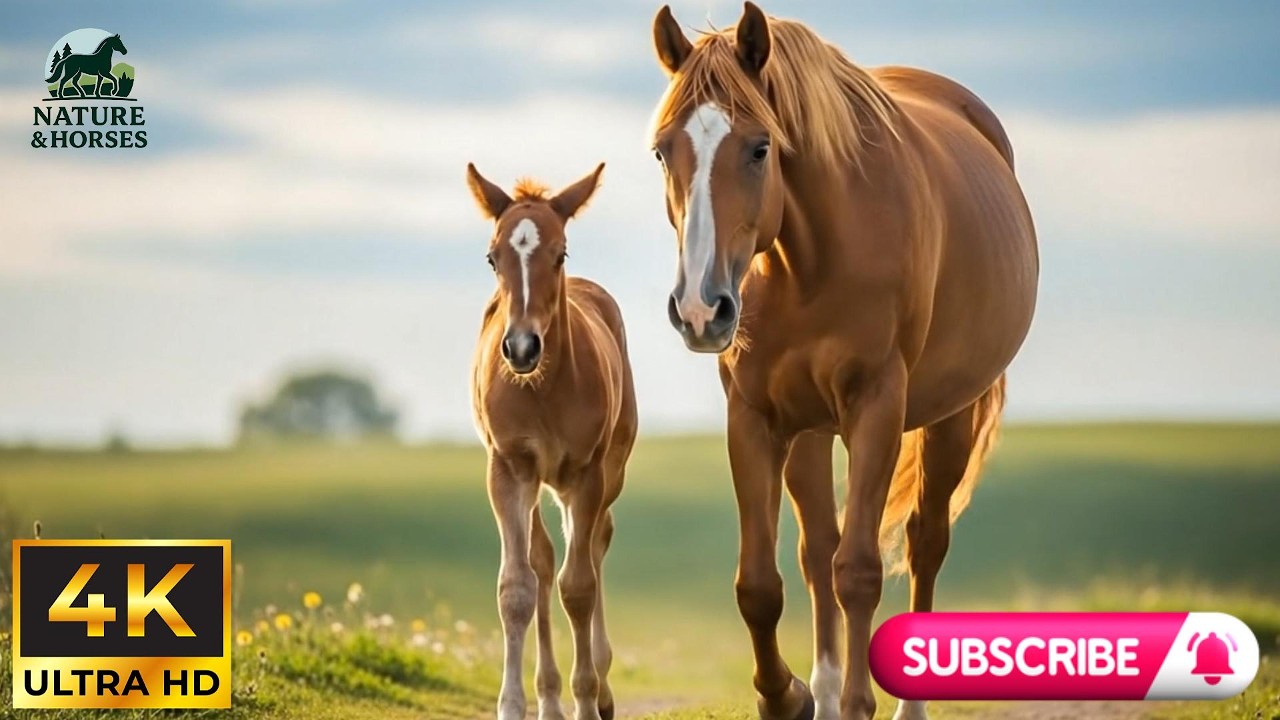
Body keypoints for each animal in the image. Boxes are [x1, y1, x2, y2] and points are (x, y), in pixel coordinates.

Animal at [468, 163, 638, 720]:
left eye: (560, 252)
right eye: (492, 256)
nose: (521, 347)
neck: (541, 387)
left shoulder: (586, 473)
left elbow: (579, 586)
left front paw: (587, 698)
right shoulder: (508, 469)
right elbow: (517, 587)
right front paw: (514, 704)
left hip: (604, 474)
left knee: (596, 544)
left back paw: (600, 689)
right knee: (543, 561)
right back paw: (548, 697)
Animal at [648, 4, 1037, 719]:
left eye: (760, 148)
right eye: (664, 150)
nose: (700, 309)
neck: (809, 261)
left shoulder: (875, 407)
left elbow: (858, 571)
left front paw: (858, 702)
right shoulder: (754, 418)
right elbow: (760, 583)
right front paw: (788, 697)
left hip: (950, 418)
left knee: (923, 543)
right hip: (809, 429)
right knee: (816, 550)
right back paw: (824, 692)